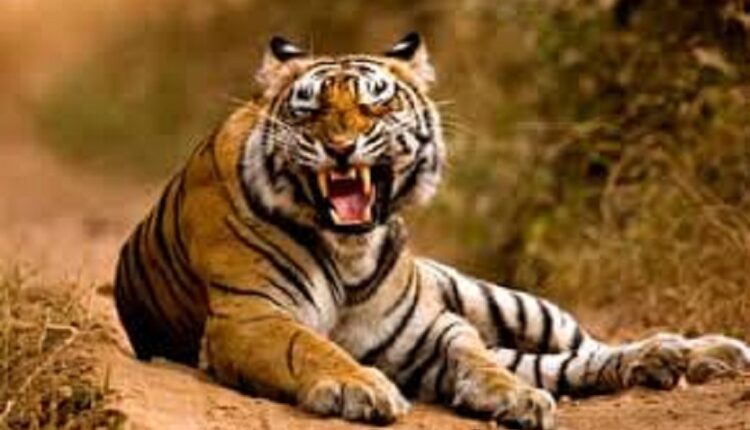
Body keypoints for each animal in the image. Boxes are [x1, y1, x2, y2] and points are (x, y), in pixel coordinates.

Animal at [114, 33, 750, 429]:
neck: (349, 253)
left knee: (579, 345)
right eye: (309, 110)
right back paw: (669, 361)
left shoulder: (430, 329)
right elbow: (312, 346)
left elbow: (478, 358)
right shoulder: (249, 317)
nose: (340, 147)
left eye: (375, 105)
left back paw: (696, 352)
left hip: (503, 300)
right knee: (561, 362)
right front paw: (363, 387)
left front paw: (516, 397)